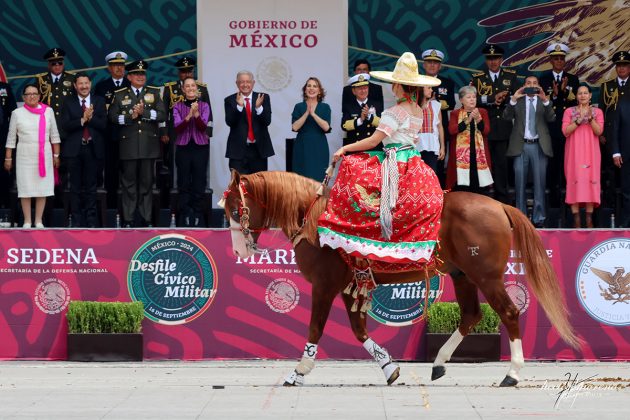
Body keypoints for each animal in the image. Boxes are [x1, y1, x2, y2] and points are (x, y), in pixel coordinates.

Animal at [222, 170, 584, 388]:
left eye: (235, 208)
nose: (238, 249)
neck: (315, 220)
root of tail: (499, 205)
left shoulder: (325, 286)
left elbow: (316, 329)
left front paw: (298, 372)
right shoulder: (350, 287)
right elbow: (359, 331)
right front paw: (389, 367)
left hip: (487, 276)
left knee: (508, 313)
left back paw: (512, 373)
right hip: (463, 274)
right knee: (471, 315)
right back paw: (439, 363)